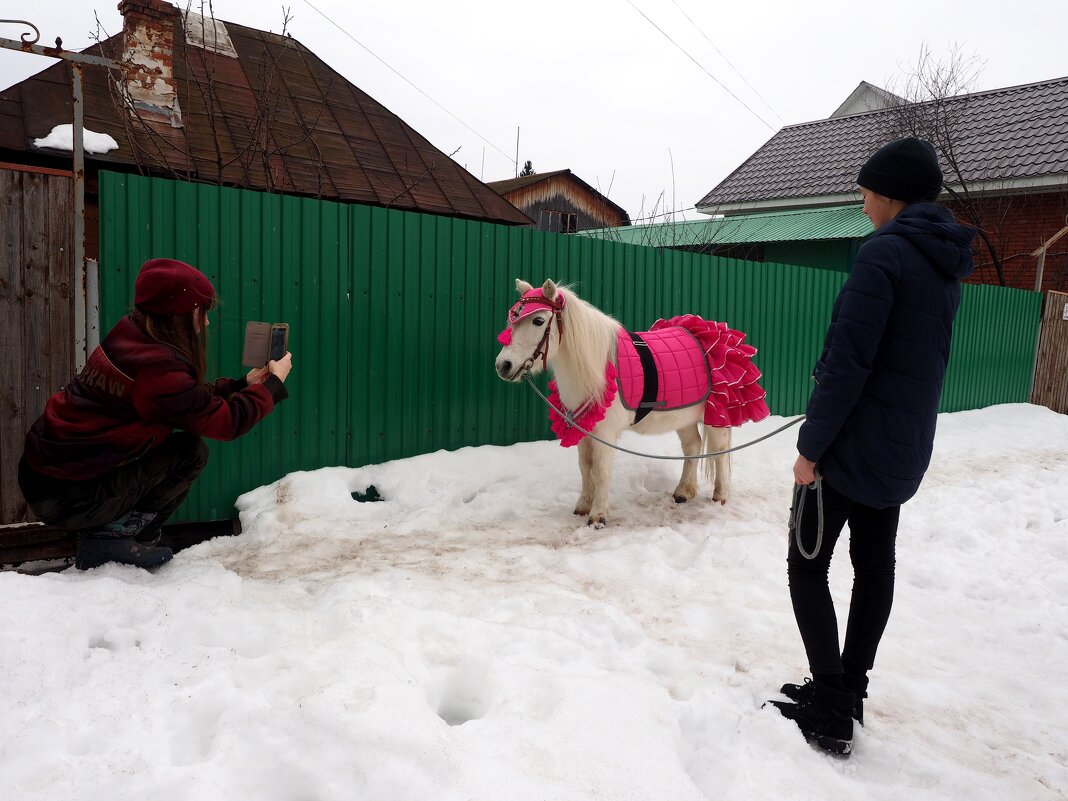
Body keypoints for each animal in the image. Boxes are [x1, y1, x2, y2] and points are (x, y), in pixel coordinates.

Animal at [491, 279, 768, 529]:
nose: (503, 366)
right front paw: (582, 506)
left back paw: (719, 497)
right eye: (513, 319)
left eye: (538, 321)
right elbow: (585, 468)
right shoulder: (583, 429)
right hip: (683, 418)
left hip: (715, 416)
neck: (598, 367)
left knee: (719, 452)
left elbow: (601, 471)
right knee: (693, 446)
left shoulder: (605, 434)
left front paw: (598, 517)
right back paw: (683, 492)